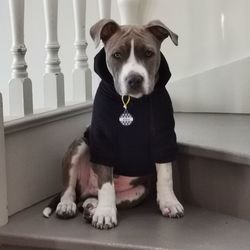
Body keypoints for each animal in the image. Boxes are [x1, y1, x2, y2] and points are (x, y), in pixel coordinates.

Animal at [43, 18, 184, 229]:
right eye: (117, 55)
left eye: (149, 53)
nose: (134, 79)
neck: (131, 103)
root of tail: (87, 190)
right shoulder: (104, 141)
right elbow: (106, 185)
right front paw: (105, 214)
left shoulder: (163, 135)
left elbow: (166, 174)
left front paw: (169, 202)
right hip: (79, 145)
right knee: (70, 188)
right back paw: (69, 206)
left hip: (139, 191)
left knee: (96, 198)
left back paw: (91, 207)